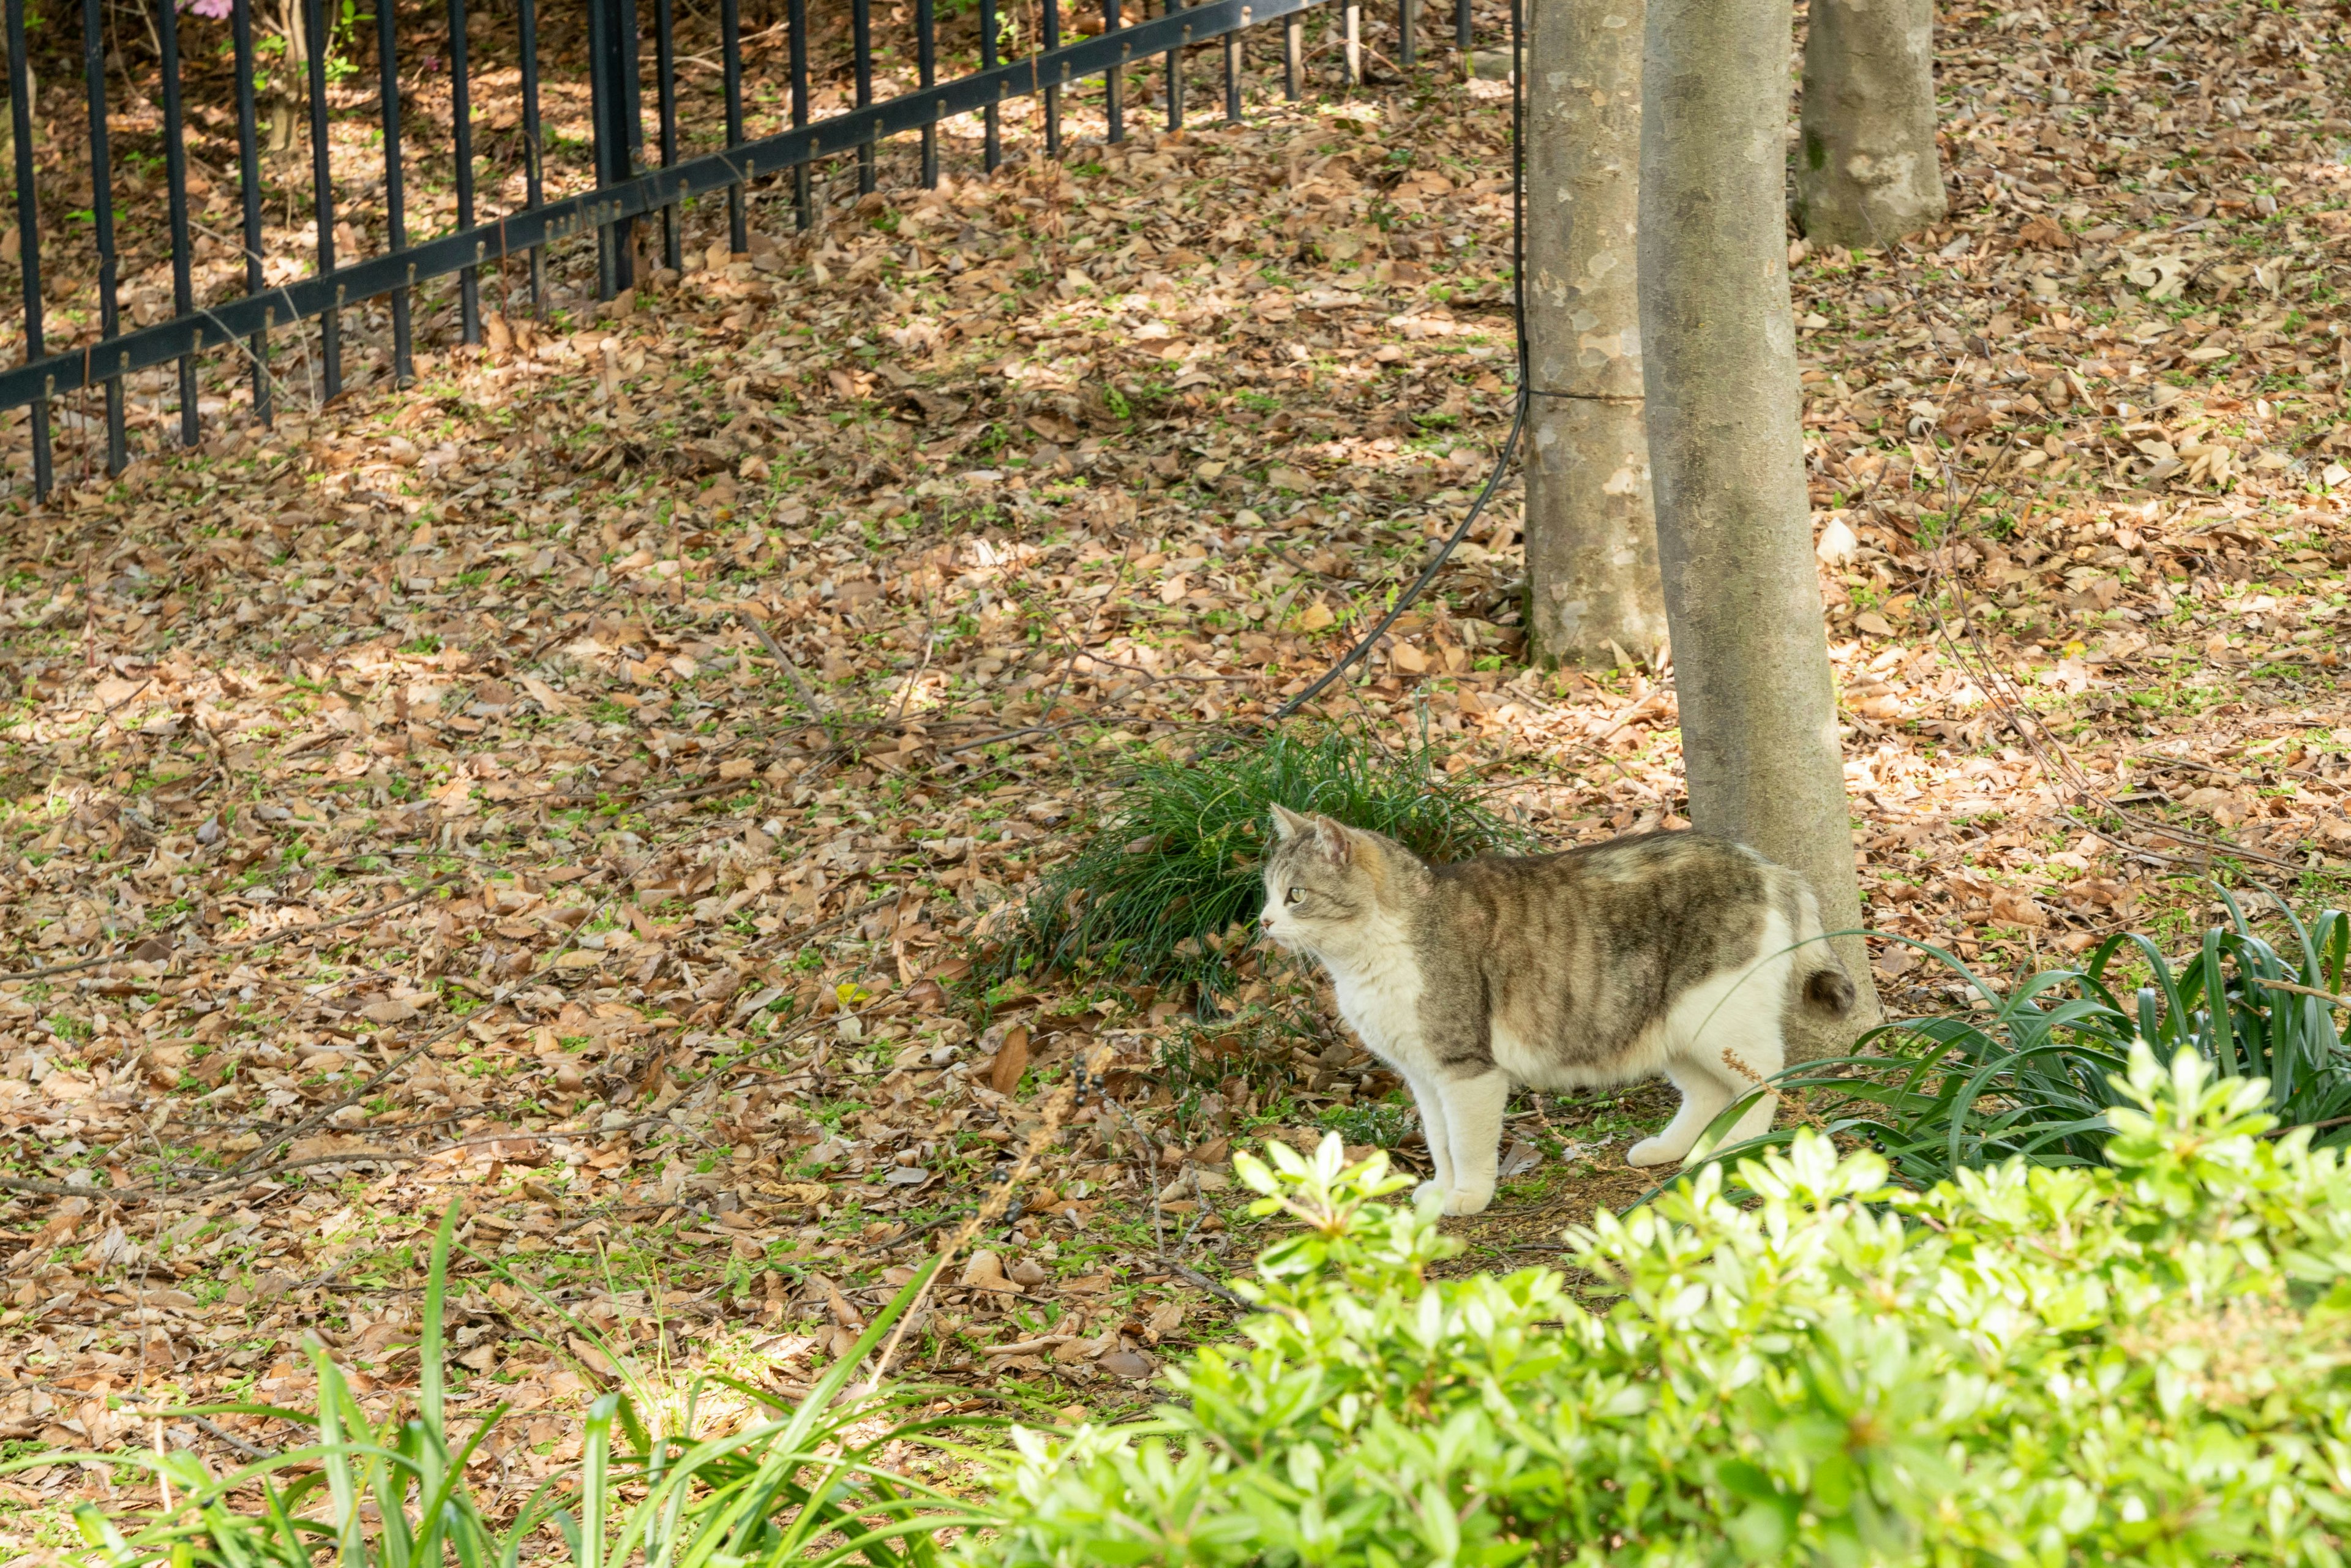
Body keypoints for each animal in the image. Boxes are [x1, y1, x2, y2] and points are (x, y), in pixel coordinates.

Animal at [1260, 808, 1843, 1222]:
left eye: (1296, 895)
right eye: (1268, 892)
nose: (1264, 921)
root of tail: (1770, 867)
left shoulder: (1466, 1071)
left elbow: (1466, 1143)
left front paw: (1468, 1194)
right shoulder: (1424, 1077)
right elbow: (1439, 1140)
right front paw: (1443, 1188)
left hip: (1718, 1016)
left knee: (1766, 1076)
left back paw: (1736, 1148)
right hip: (1667, 1021)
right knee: (1710, 1091)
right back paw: (1680, 1149)